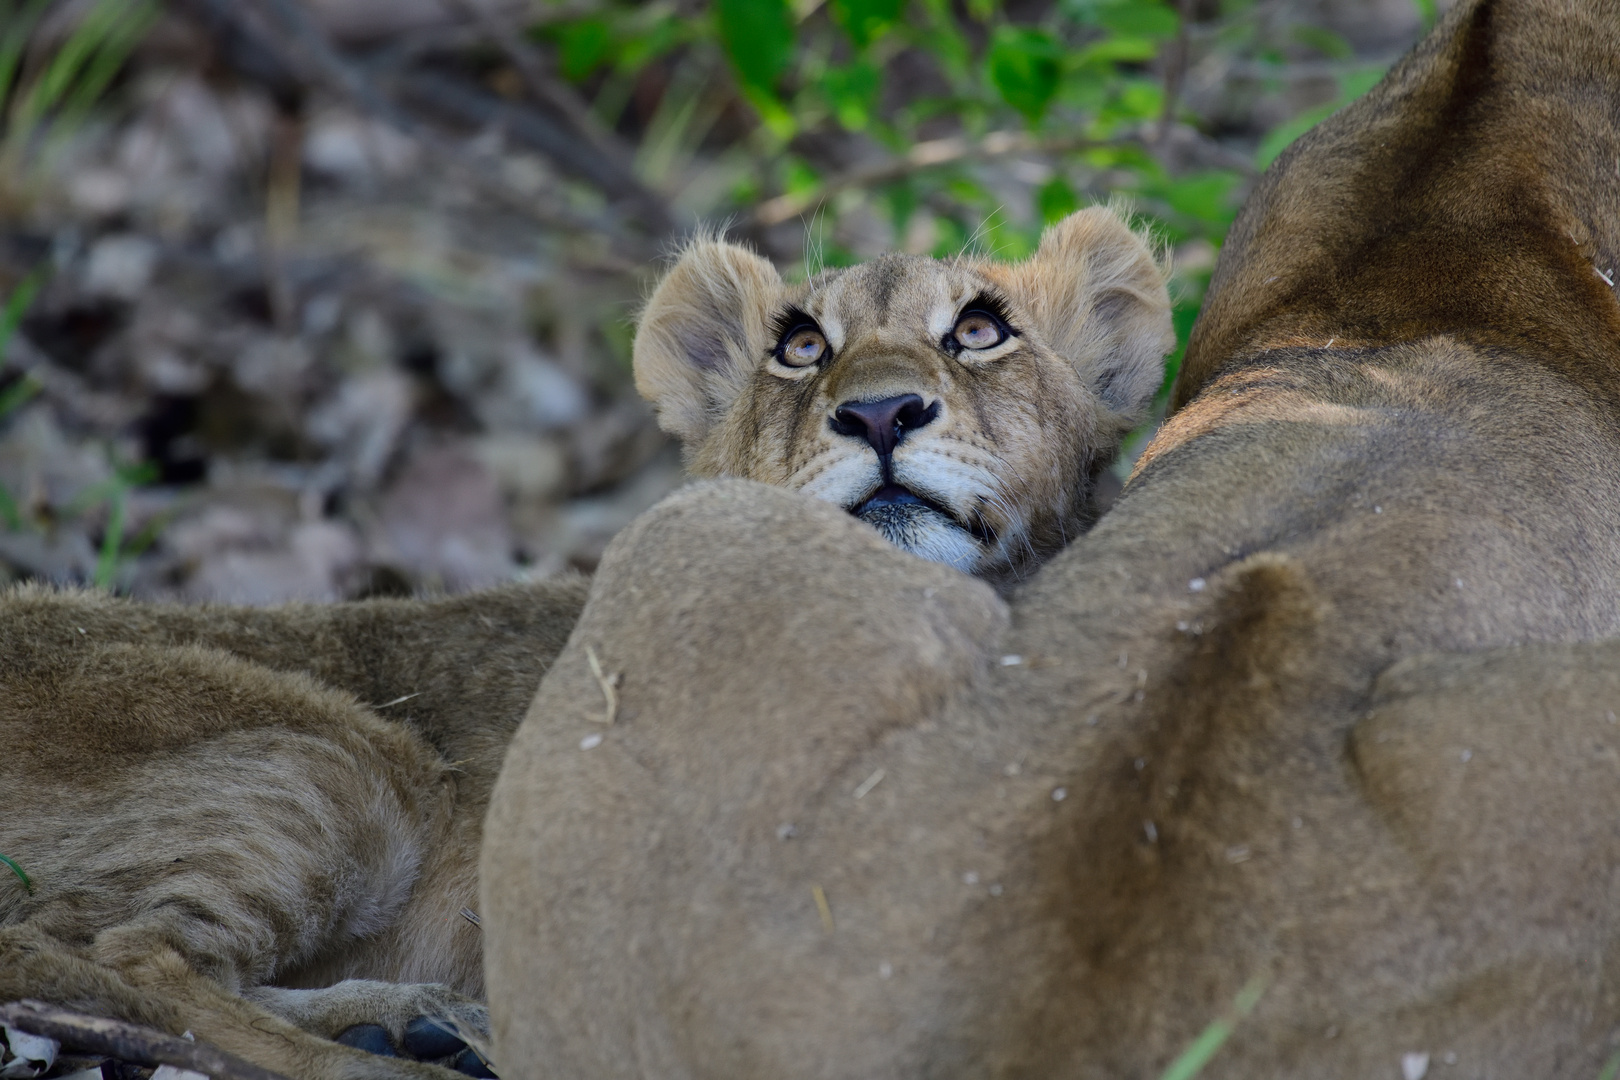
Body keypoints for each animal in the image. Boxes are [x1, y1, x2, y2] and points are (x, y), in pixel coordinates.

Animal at [0, 208, 1172, 1080]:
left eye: (979, 331)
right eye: (802, 349)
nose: (880, 414)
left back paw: (422, 1023)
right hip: (343, 763)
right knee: (115, 949)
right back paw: (389, 1060)